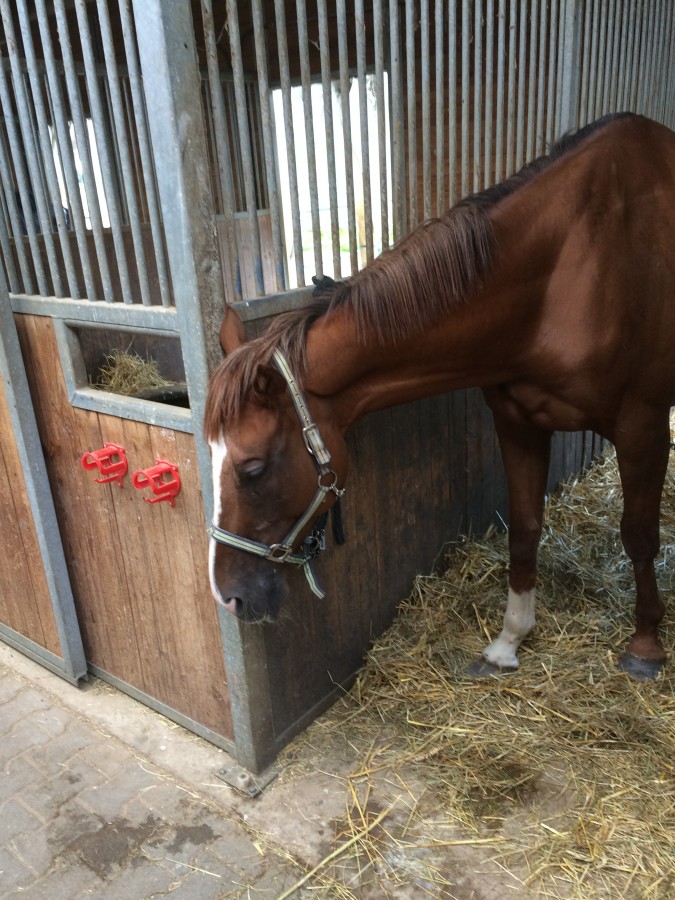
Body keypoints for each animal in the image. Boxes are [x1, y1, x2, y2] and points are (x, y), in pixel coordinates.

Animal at [205, 113, 675, 681]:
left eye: (252, 469)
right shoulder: (519, 422)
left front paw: (646, 646)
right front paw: (508, 643)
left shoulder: (642, 427)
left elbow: (640, 535)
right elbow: (524, 528)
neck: (575, 266)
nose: (227, 597)